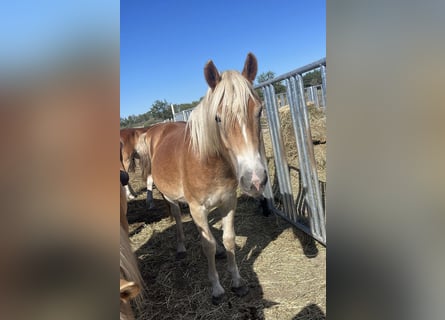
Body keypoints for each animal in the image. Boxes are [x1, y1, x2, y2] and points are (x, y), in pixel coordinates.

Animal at [137, 53, 266, 304]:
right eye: (217, 118)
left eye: (259, 111)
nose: (255, 180)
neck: (210, 163)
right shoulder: (197, 207)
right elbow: (207, 246)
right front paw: (216, 289)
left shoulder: (228, 202)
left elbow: (228, 239)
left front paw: (237, 282)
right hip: (170, 197)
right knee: (178, 216)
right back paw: (180, 247)